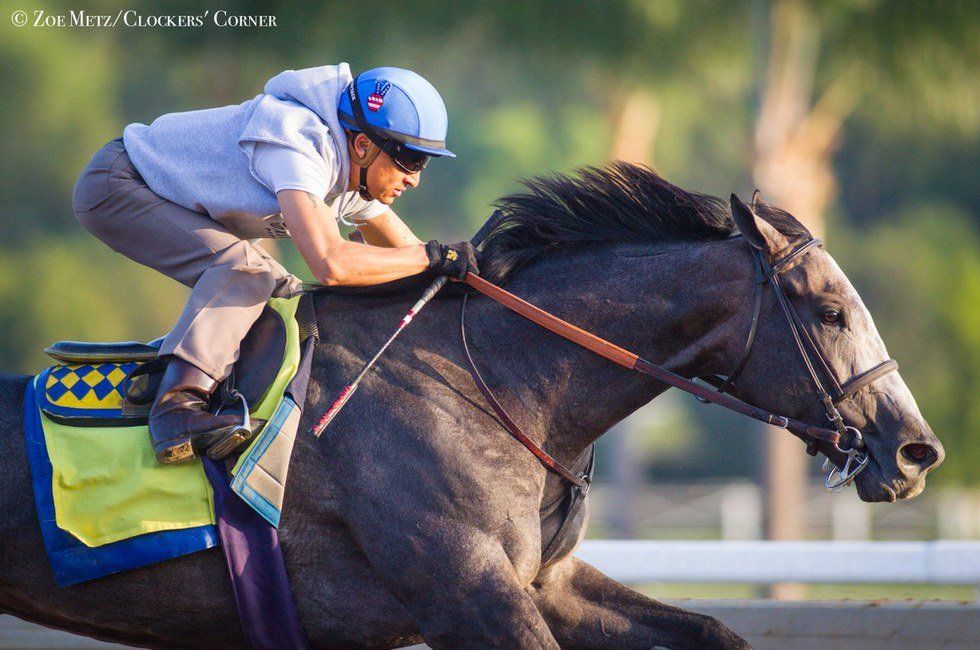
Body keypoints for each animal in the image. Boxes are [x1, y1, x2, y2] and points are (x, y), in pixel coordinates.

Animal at [3, 165, 944, 644]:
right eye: (830, 312)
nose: (914, 450)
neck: (493, 382)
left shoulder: (545, 581)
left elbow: (717, 635)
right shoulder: (466, 591)